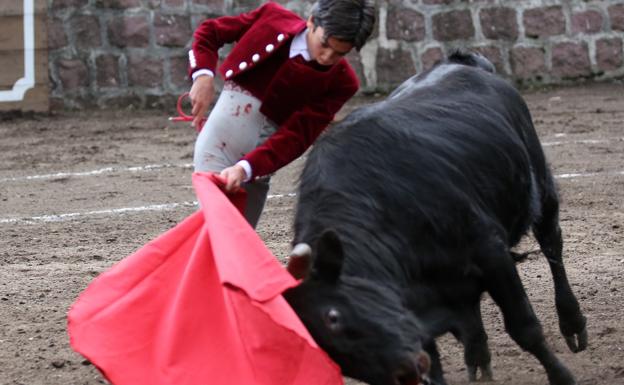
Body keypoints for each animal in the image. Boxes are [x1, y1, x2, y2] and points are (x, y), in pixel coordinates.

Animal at [286, 53, 588, 384]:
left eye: (333, 317)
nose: (402, 372)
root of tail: (461, 61)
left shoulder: (491, 251)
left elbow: (524, 328)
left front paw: (562, 377)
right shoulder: (412, 307)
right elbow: (435, 366)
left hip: (540, 184)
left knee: (552, 244)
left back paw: (572, 324)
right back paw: (478, 358)